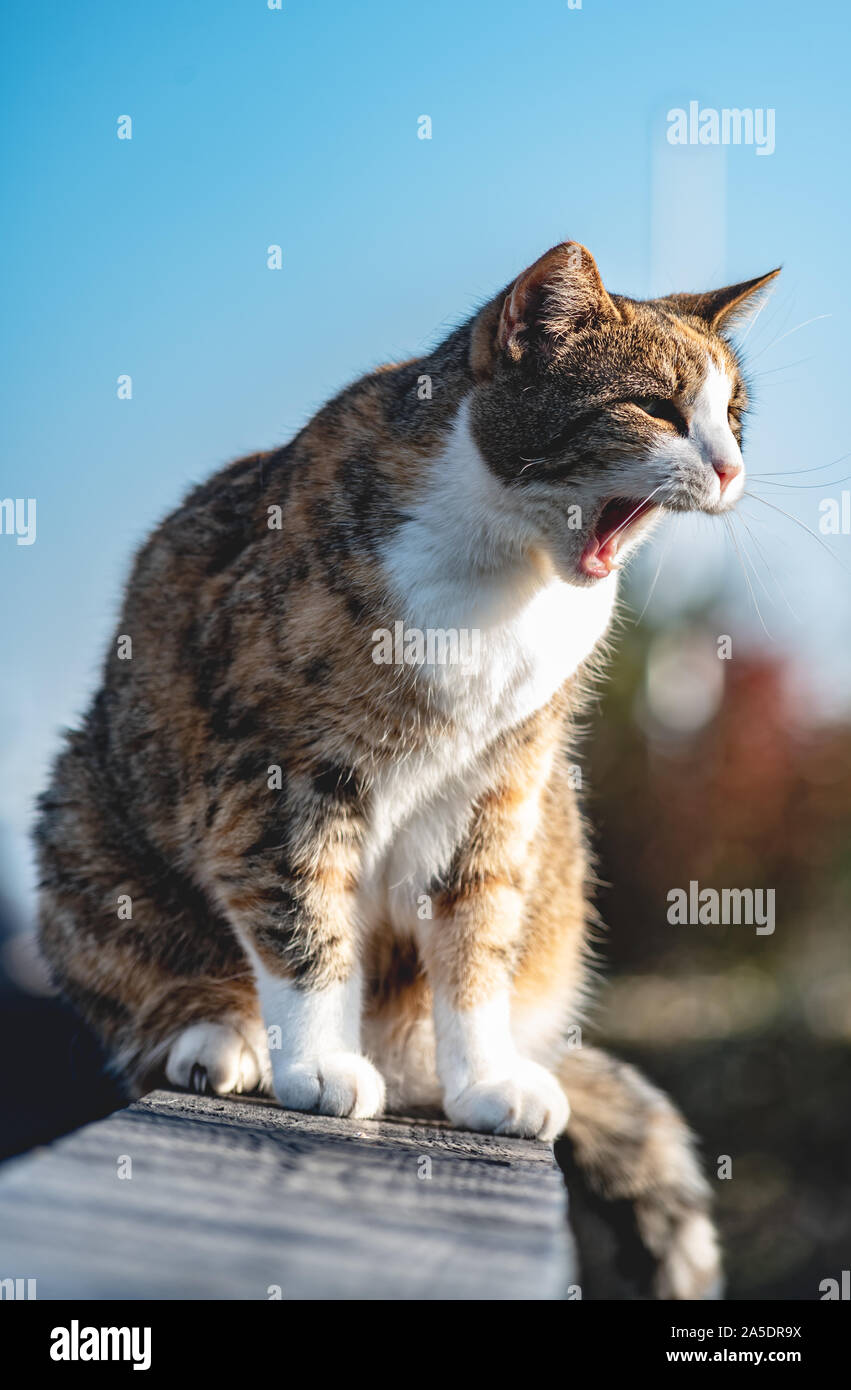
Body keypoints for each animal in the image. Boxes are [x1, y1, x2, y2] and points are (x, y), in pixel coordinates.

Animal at [33, 239, 778, 1289]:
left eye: (733, 416)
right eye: (659, 409)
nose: (729, 467)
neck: (508, 574)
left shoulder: (499, 791)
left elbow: (475, 947)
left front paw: (485, 1082)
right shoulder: (285, 776)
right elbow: (305, 923)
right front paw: (317, 1064)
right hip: (84, 816)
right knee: (152, 991)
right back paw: (221, 1039)